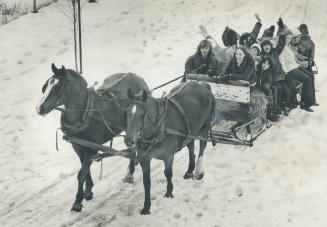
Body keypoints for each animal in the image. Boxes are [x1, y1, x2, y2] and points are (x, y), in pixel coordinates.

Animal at [35, 63, 150, 212]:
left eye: (58, 87)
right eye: (46, 85)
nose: (39, 108)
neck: (85, 113)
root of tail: (136, 77)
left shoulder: (91, 150)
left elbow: (81, 174)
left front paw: (77, 201)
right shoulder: (79, 147)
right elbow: (85, 170)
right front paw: (88, 190)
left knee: (133, 146)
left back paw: (130, 172)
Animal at [124, 81, 214, 215]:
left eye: (143, 114)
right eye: (127, 112)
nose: (128, 141)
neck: (158, 129)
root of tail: (202, 84)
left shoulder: (168, 156)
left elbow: (168, 174)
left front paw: (169, 193)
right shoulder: (144, 159)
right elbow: (146, 182)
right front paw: (146, 207)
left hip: (204, 127)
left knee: (202, 148)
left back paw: (198, 171)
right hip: (189, 132)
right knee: (191, 148)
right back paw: (189, 171)